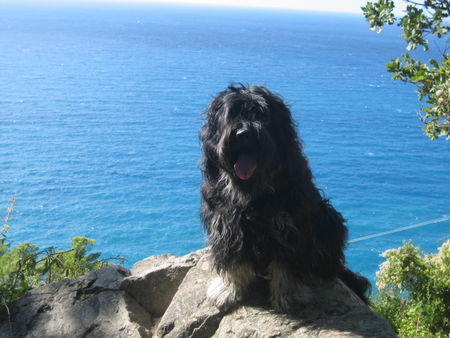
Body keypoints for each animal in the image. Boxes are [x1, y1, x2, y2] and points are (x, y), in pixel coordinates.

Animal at [200, 84, 370, 312]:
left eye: (262, 115)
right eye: (232, 114)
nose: (243, 134)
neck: (254, 191)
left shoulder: (288, 228)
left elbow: (286, 265)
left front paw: (288, 296)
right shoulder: (227, 225)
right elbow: (232, 260)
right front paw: (227, 290)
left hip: (328, 218)